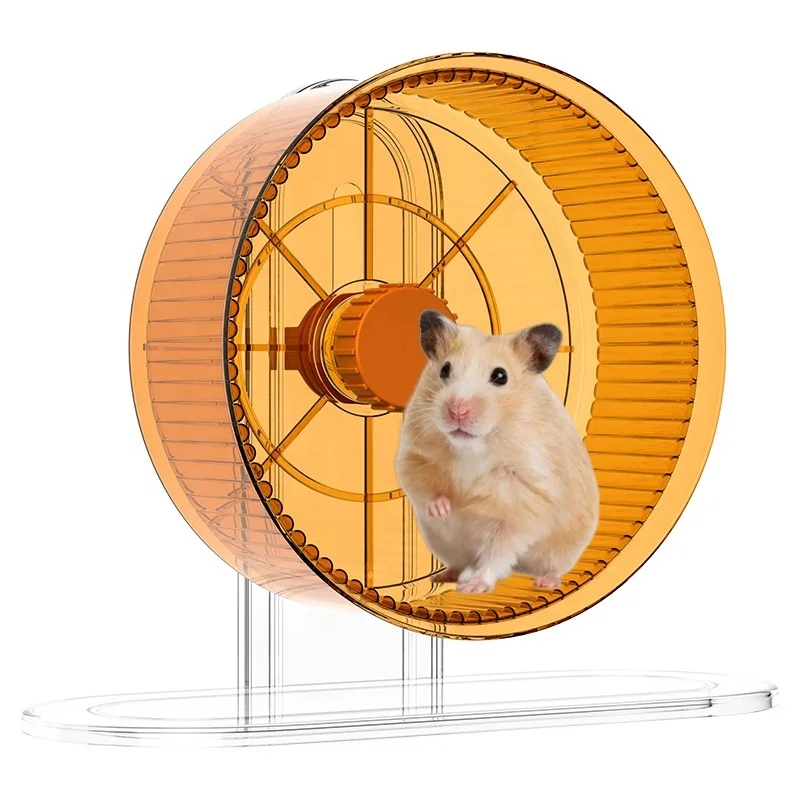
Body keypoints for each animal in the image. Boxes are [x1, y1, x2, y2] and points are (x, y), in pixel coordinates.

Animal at [395, 311, 599, 595]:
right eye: (445, 369)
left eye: (500, 376)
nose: (457, 410)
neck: (472, 447)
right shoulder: (414, 456)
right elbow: (422, 485)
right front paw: (444, 509)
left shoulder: (522, 499)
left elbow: (498, 551)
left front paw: (473, 587)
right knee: (459, 561)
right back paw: (444, 576)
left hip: (562, 549)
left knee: (549, 566)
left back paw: (545, 583)